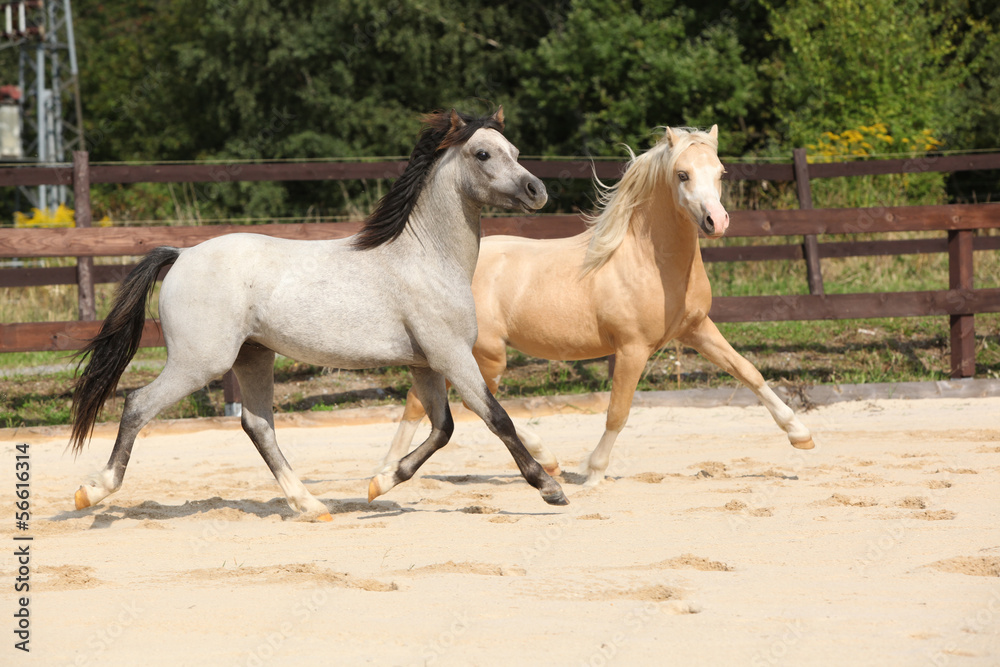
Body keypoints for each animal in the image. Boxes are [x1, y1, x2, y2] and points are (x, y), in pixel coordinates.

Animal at [71, 108, 568, 520]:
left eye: (515, 152)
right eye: (483, 153)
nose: (537, 190)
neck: (426, 259)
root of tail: (182, 255)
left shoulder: (425, 364)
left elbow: (442, 428)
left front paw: (379, 484)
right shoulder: (452, 356)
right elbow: (495, 417)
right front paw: (550, 489)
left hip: (253, 356)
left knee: (257, 425)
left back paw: (310, 505)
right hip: (200, 362)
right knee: (138, 404)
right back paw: (91, 492)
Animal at [380, 124, 812, 486]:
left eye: (720, 173)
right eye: (682, 174)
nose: (716, 222)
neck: (646, 261)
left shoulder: (697, 329)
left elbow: (749, 372)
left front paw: (801, 435)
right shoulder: (632, 348)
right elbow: (618, 411)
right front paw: (593, 471)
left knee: (440, 402)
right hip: (482, 354)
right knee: (449, 403)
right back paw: (388, 473)